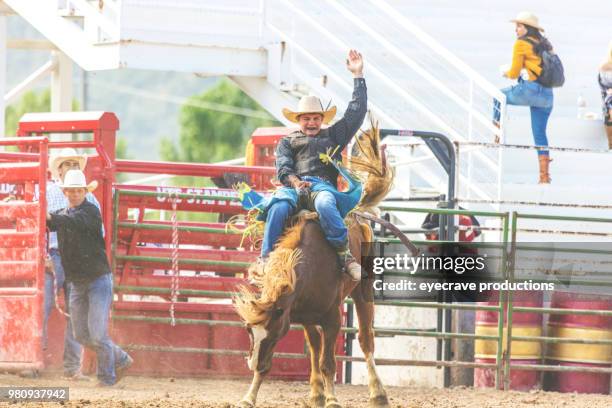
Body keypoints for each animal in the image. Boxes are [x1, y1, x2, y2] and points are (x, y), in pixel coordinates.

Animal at [233, 122, 416, 408]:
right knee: (317, 346)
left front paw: (332, 399)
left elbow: (329, 362)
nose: (250, 363)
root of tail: (359, 212)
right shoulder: (297, 315)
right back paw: (316, 393)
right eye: (249, 331)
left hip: (363, 291)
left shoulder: (331, 318)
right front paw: (249, 397)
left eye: (271, 333)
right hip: (311, 316)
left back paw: (378, 392)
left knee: (366, 339)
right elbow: (302, 356)